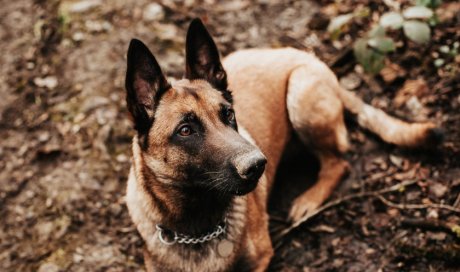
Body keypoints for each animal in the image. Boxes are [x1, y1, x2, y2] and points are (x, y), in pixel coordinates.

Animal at [123, 18, 442, 270]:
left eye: (228, 114)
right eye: (185, 130)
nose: (257, 165)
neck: (196, 222)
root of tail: (304, 55)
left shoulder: (262, 259)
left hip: (301, 96)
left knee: (337, 163)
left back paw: (308, 201)